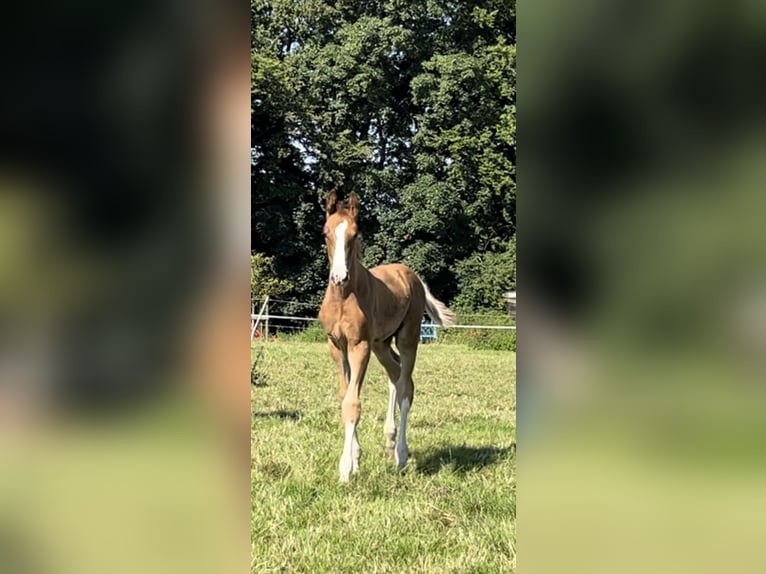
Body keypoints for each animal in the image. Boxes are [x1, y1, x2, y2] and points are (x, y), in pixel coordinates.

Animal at [318, 191, 456, 484]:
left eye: (355, 234)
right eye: (326, 232)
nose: (339, 277)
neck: (344, 297)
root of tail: (412, 275)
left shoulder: (359, 345)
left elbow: (353, 403)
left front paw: (345, 469)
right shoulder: (336, 346)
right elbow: (345, 395)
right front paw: (355, 459)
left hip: (407, 337)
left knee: (405, 386)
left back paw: (401, 455)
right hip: (381, 344)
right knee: (396, 374)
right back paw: (391, 443)